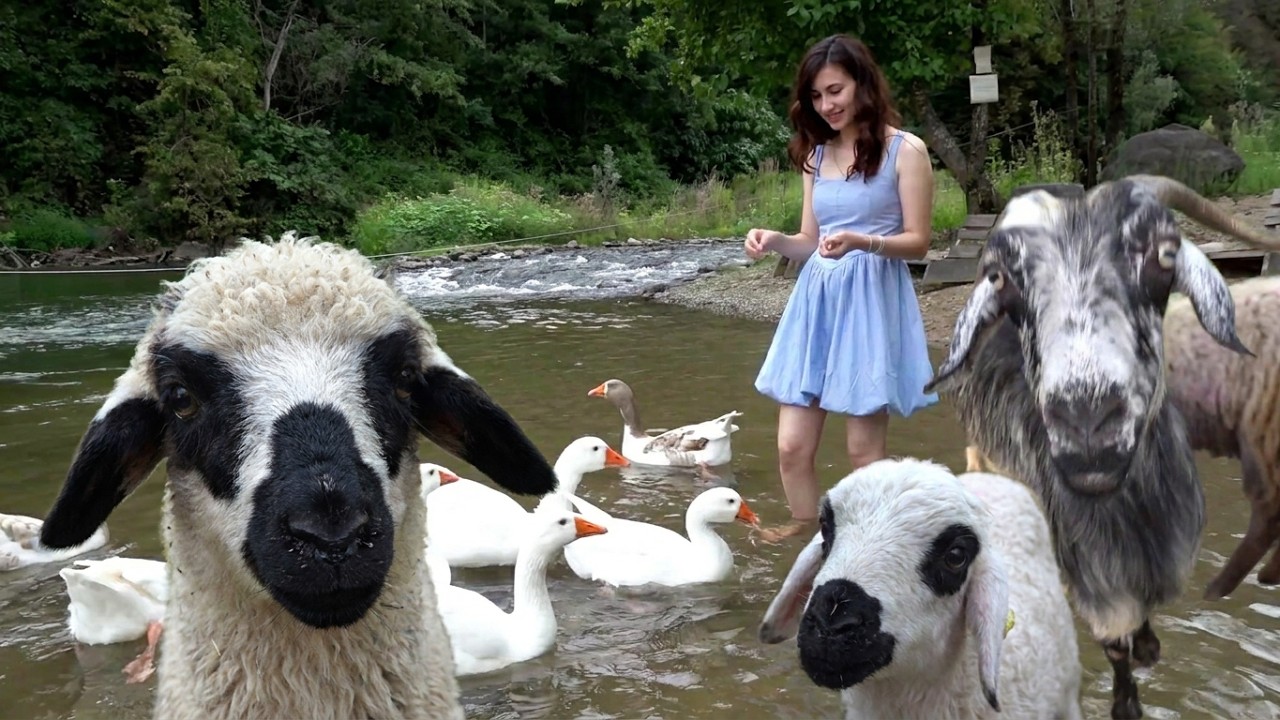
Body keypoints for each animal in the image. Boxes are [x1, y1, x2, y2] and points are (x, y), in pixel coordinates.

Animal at [924, 175, 1276, 719]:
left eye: (1165, 255)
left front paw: (1149, 645)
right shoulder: (1090, 574)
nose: (1086, 420)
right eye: (1001, 280)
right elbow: (1115, 648)